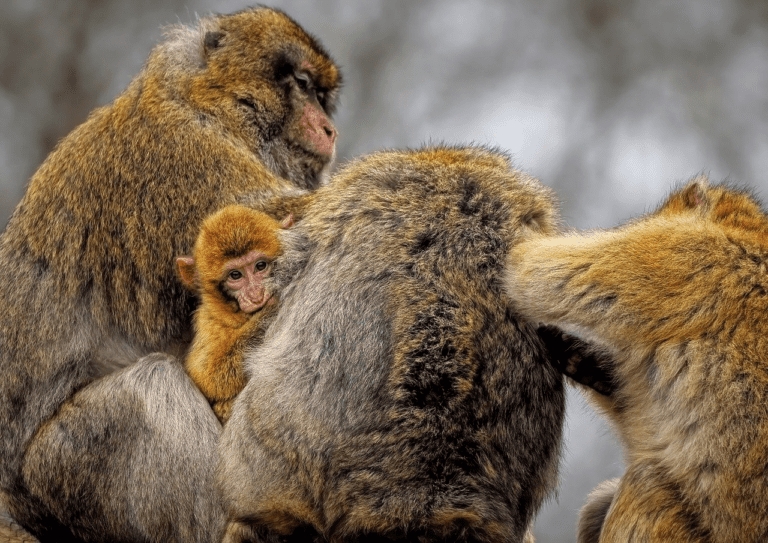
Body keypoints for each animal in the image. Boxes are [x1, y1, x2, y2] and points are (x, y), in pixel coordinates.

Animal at [177, 205, 291, 424]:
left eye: (260, 266)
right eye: (235, 275)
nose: (256, 294)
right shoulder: (209, 320)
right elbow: (207, 375)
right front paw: (271, 308)